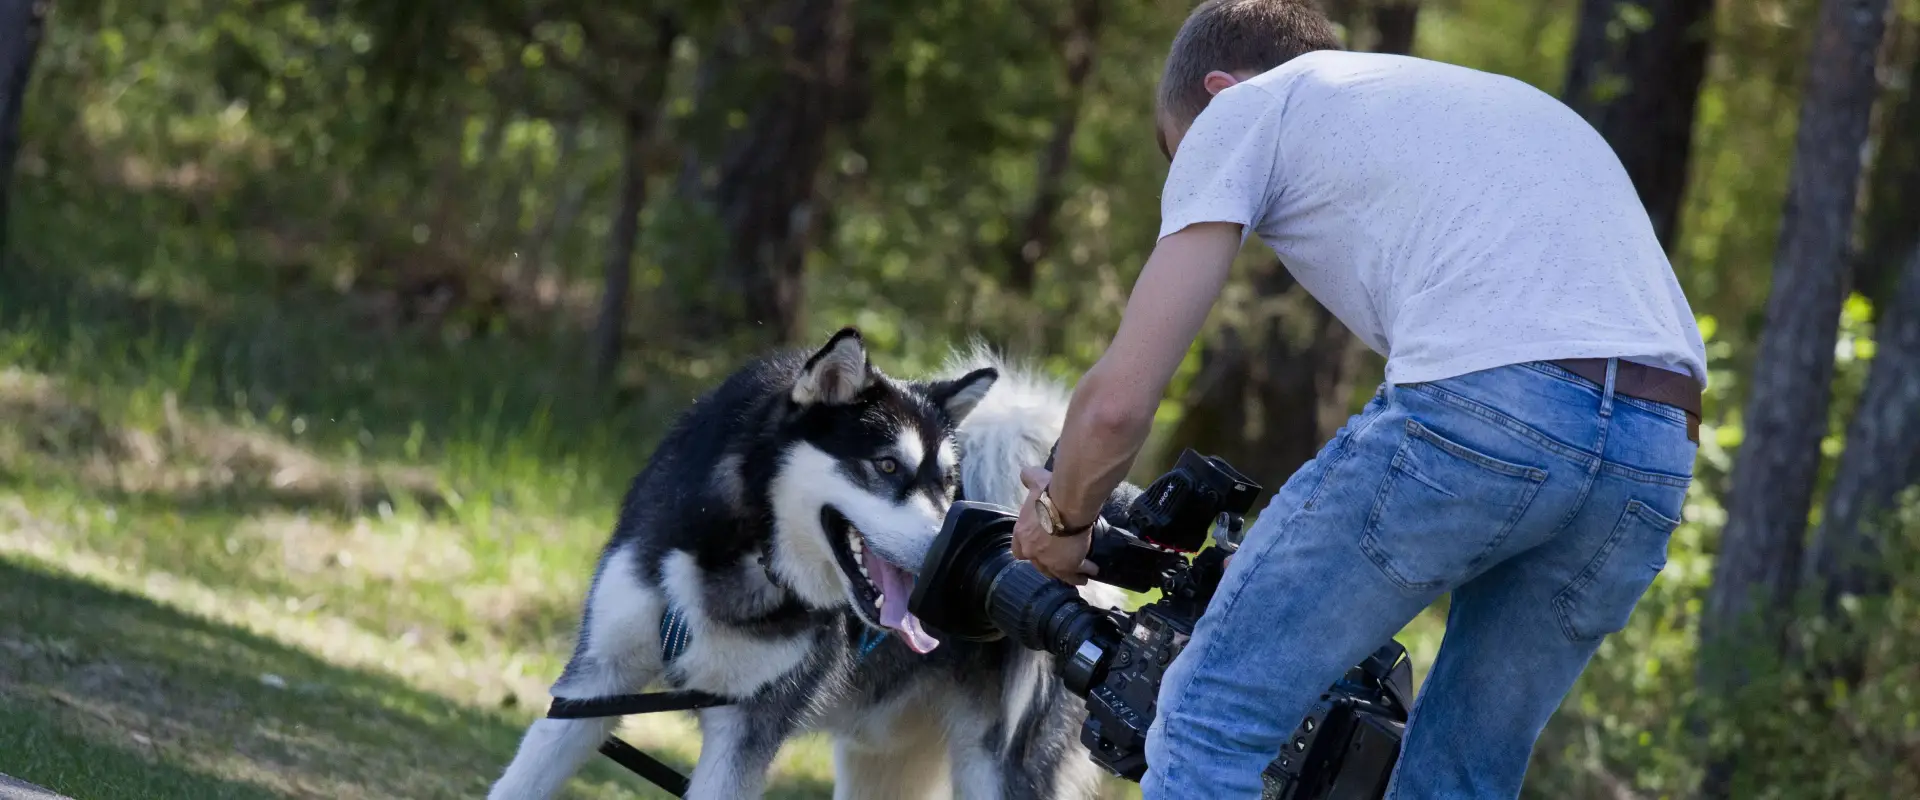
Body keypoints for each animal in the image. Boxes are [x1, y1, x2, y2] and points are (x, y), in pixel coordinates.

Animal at [491, 326, 1121, 798]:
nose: (960, 553)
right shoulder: (595, 684)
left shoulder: (746, 732)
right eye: (887, 466)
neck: (748, 554)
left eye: (947, 485)